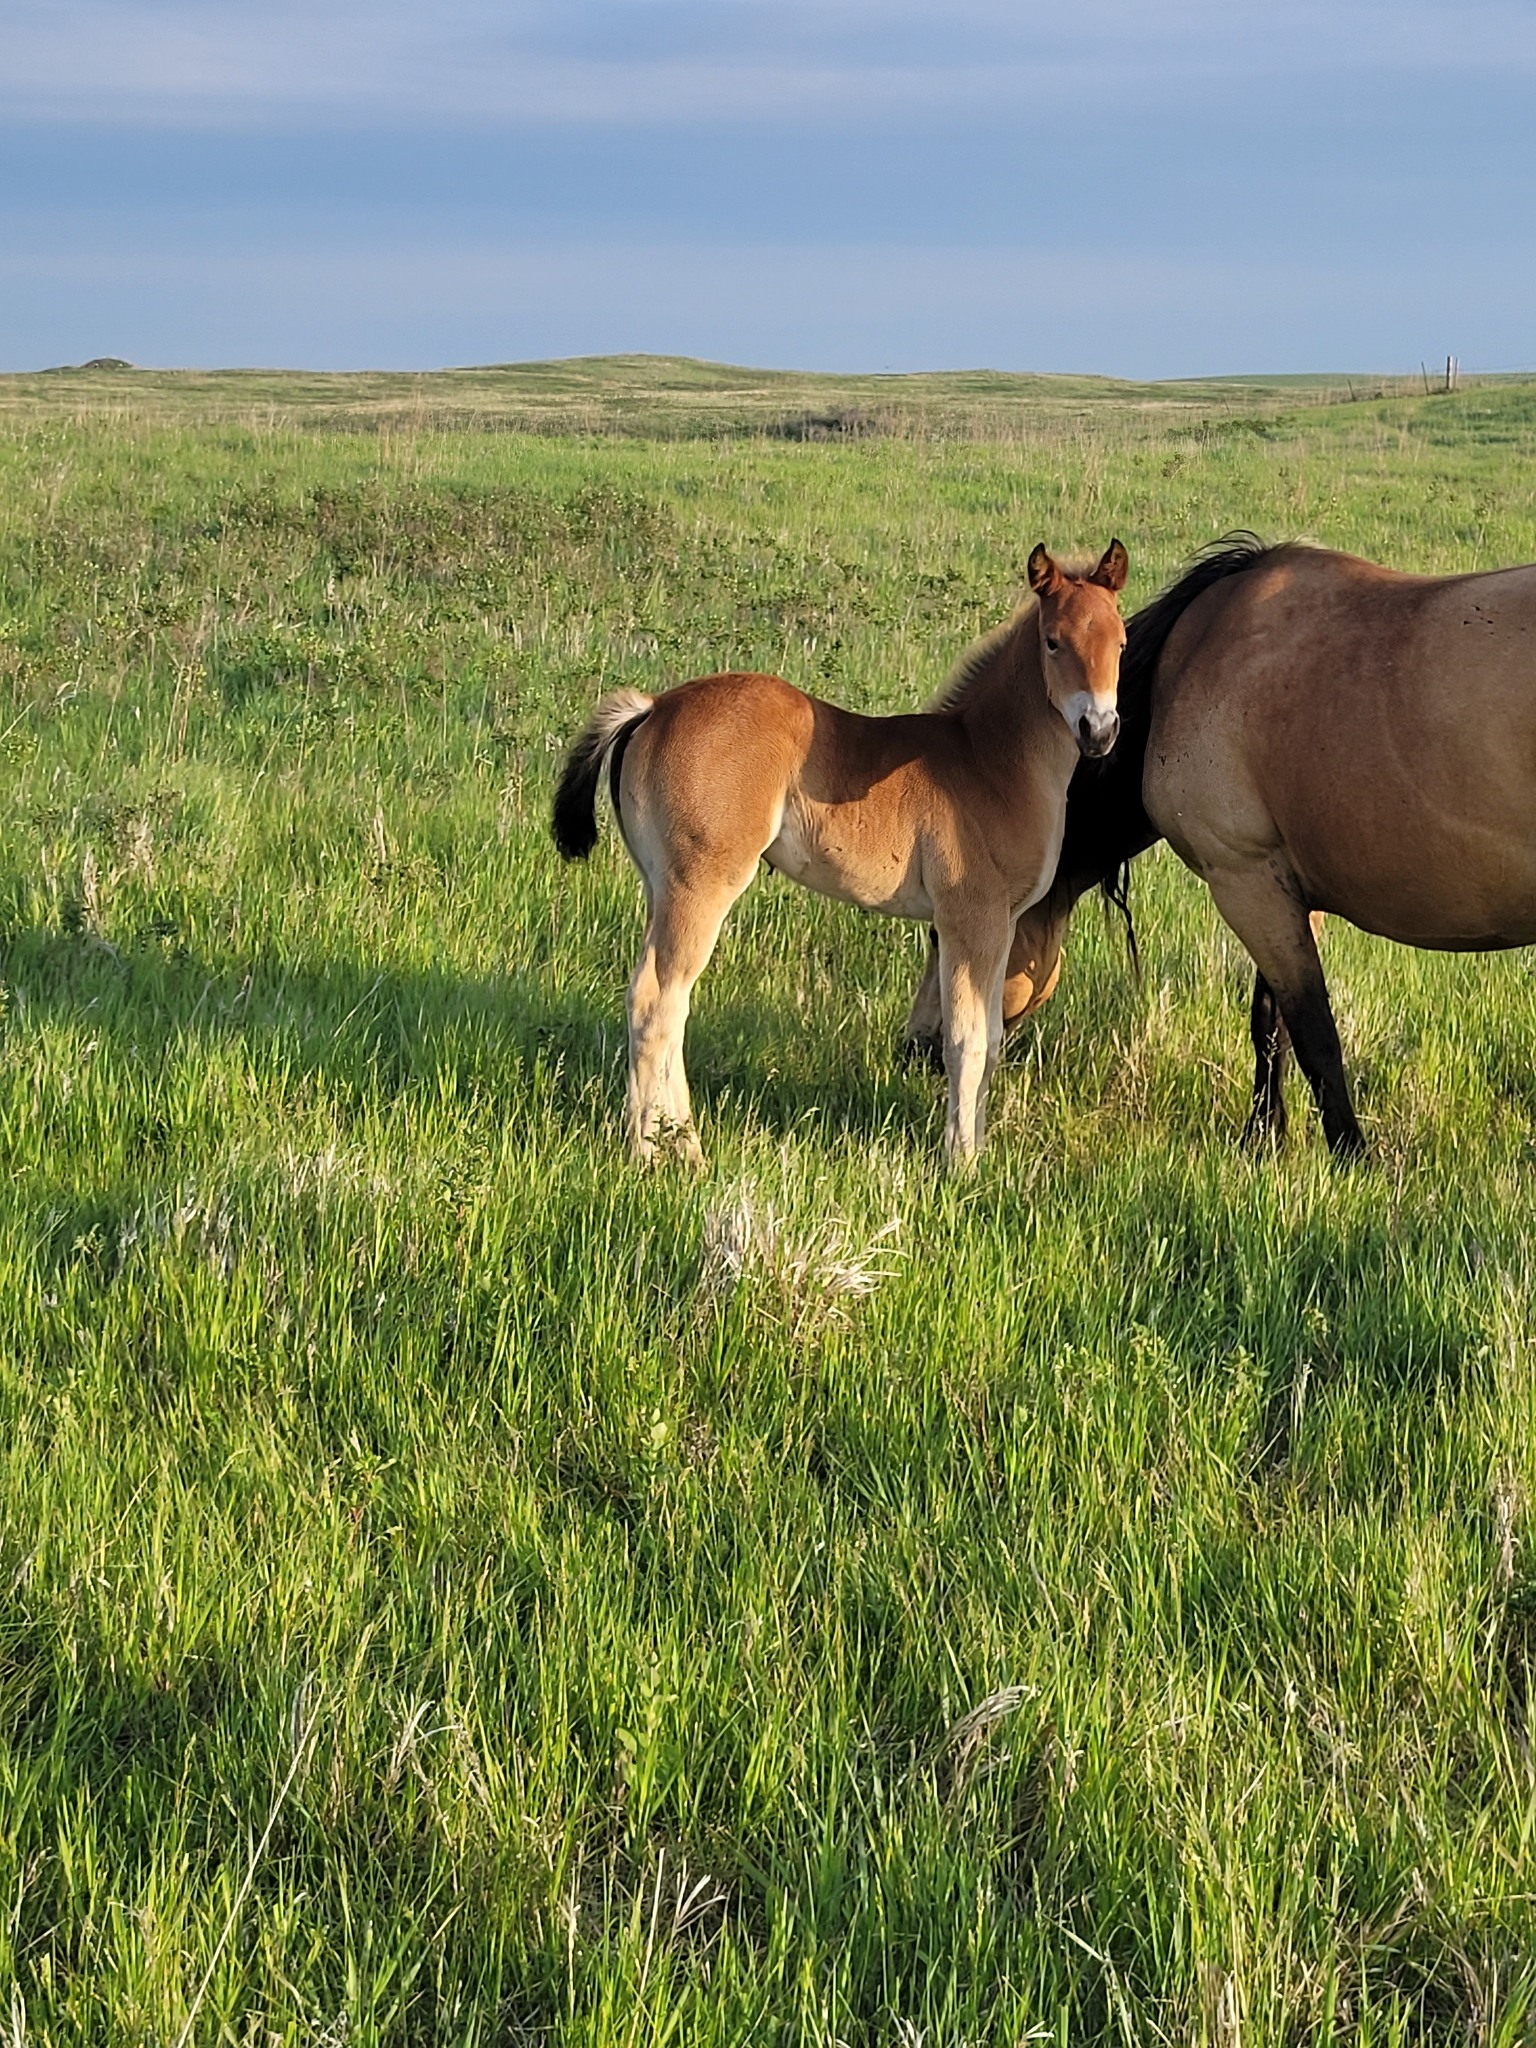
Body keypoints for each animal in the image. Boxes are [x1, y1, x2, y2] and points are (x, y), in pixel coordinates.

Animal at [551, 539, 1129, 1170]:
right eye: (1053, 641)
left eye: (1121, 642)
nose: (1098, 730)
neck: (989, 761)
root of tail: (652, 708)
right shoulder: (971, 918)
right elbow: (967, 1040)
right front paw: (959, 1163)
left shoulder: (1000, 926)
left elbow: (992, 1041)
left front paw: (975, 1153)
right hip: (698, 885)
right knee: (657, 1003)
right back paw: (661, 1155)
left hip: (659, 886)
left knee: (664, 1002)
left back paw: (673, 1140)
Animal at [906, 534, 1536, 1157]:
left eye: (938, 935)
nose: (916, 1048)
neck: (1183, 666)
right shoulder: (1283, 892)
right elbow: (1271, 1024)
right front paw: (1264, 1137)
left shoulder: (1246, 883)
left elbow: (1313, 1033)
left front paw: (1350, 1153)